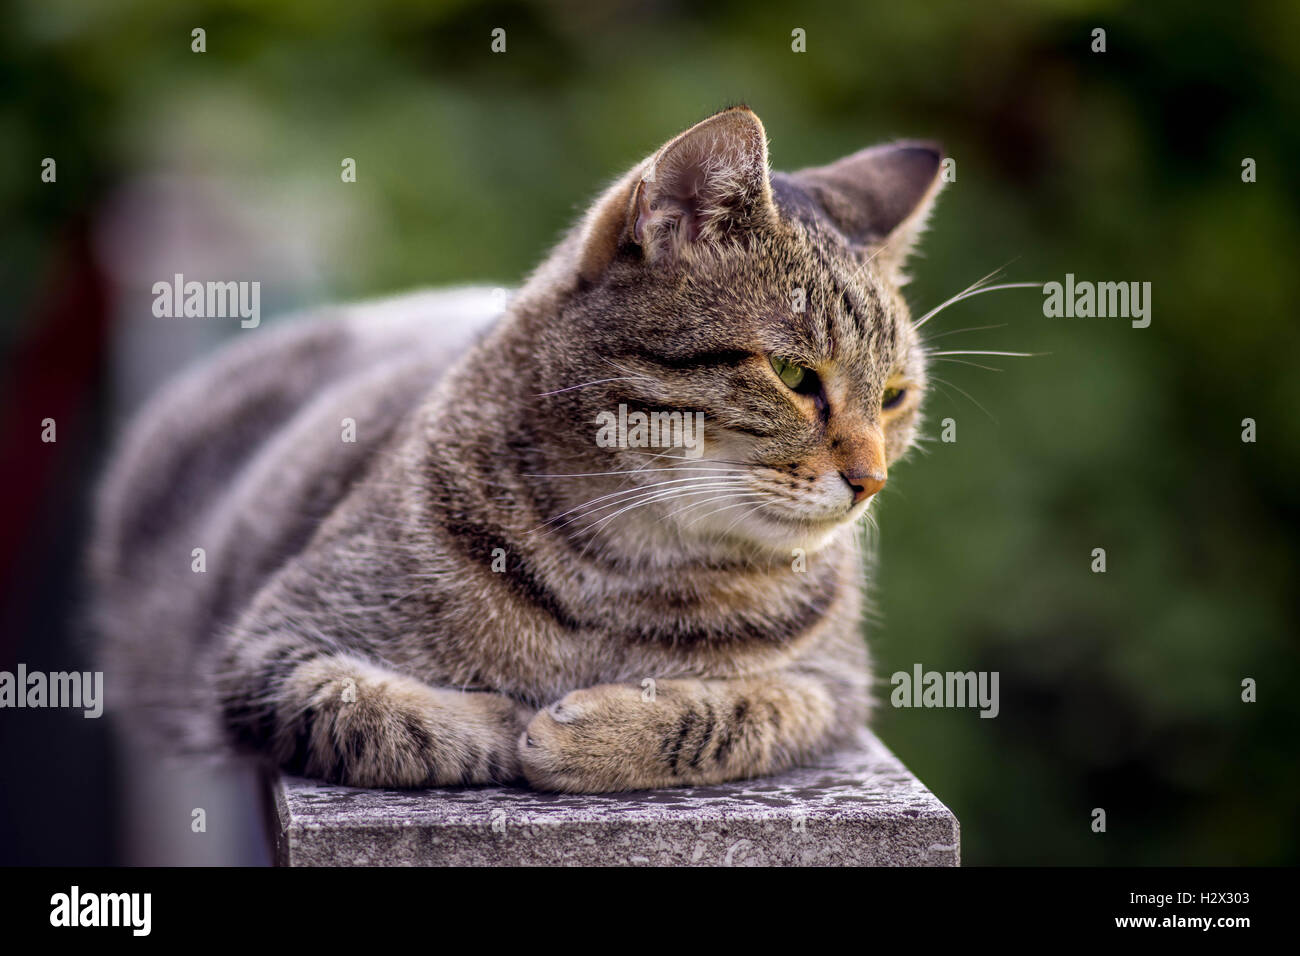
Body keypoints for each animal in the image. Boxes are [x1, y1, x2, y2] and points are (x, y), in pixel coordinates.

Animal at [91, 106, 946, 790]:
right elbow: (365, 712)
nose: (870, 479)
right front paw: (495, 721)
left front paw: (593, 735)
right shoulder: (265, 647)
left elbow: (738, 712)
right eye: (795, 374)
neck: (638, 568)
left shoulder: (833, 688)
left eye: (894, 395)